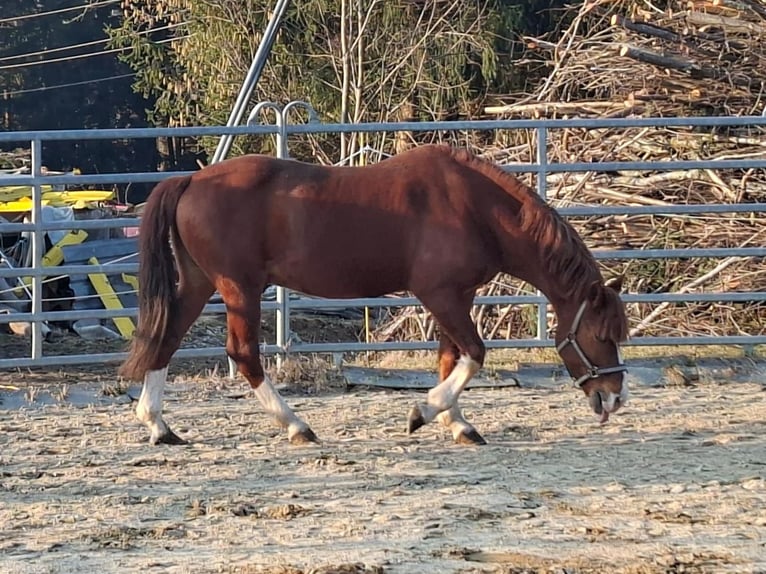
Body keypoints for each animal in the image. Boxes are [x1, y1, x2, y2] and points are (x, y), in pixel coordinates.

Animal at [119, 144, 629, 446]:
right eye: (601, 334)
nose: (613, 399)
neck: (475, 207)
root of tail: (192, 180)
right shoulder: (440, 294)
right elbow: (474, 354)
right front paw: (423, 412)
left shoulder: (456, 296)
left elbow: (452, 358)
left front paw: (457, 424)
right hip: (240, 288)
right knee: (243, 354)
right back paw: (297, 425)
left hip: (201, 284)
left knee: (166, 339)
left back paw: (159, 425)